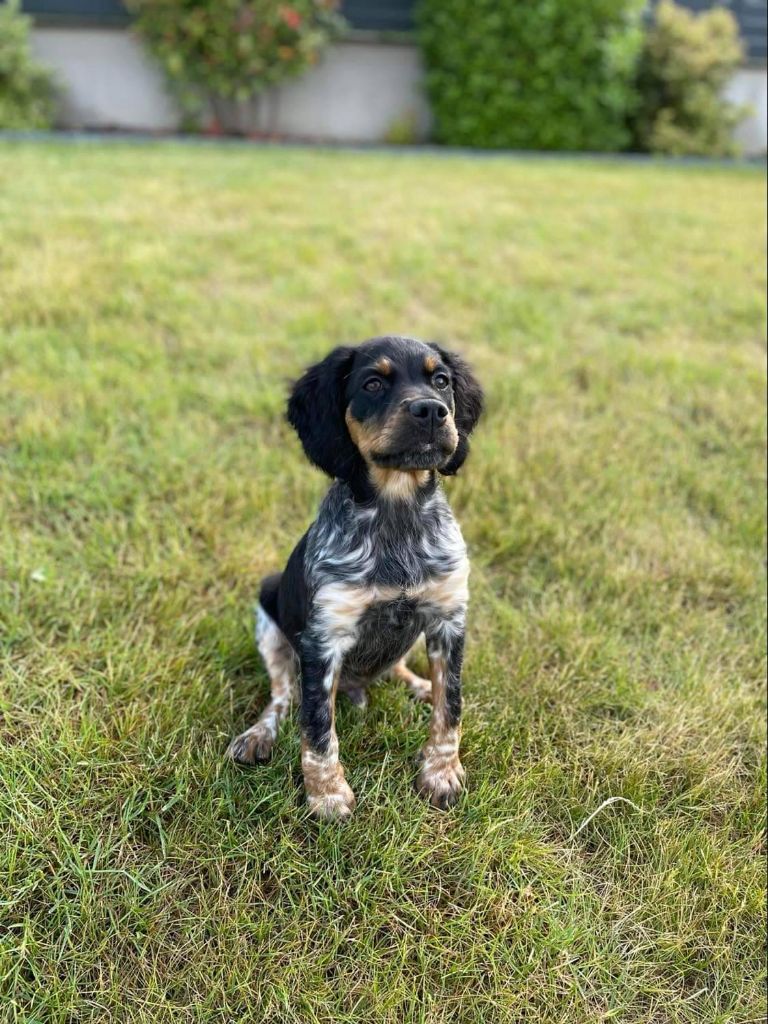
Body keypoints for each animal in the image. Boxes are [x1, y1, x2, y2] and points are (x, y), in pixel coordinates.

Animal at [225, 339, 483, 819]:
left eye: (441, 380)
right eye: (373, 383)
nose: (432, 411)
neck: (397, 513)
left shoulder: (448, 620)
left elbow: (450, 707)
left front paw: (441, 773)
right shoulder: (324, 639)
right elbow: (316, 727)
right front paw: (327, 796)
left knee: (398, 667)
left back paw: (419, 685)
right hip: (270, 620)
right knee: (282, 696)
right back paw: (259, 735)